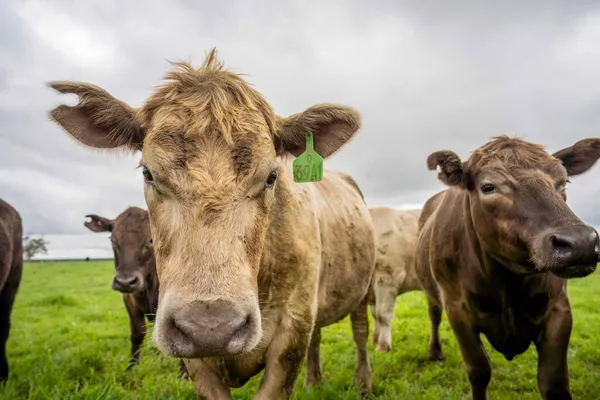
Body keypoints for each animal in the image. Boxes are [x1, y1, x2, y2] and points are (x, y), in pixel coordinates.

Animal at [84, 206, 188, 378]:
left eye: (151, 240)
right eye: (112, 240)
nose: (125, 281)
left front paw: (184, 375)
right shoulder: (129, 300)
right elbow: (138, 334)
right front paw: (131, 368)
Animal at [414, 136, 600, 398]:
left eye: (563, 181)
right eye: (488, 187)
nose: (580, 242)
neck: (508, 283)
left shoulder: (559, 308)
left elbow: (554, 382)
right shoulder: (456, 308)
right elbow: (479, 371)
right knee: (434, 315)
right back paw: (435, 351)